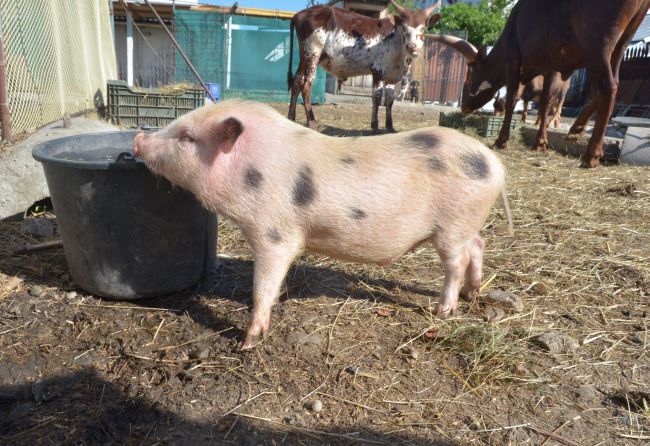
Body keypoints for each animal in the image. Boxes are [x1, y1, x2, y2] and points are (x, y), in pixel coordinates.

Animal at [133, 100, 512, 348]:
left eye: (188, 137)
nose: (137, 139)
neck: (251, 170)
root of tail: (494, 164)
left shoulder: (274, 233)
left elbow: (264, 282)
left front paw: (248, 342)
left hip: (452, 225)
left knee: (456, 262)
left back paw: (444, 311)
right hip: (464, 225)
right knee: (478, 246)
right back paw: (472, 293)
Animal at [284, 0, 440, 132]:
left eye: (422, 29)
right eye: (405, 29)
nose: (412, 47)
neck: (397, 42)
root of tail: (299, 14)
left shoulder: (391, 75)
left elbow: (389, 100)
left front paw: (390, 126)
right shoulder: (378, 70)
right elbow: (377, 97)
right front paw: (375, 125)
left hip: (304, 56)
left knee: (297, 80)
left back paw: (291, 118)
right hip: (313, 53)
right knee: (306, 84)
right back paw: (311, 122)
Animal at [430, 0, 648, 167]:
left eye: (468, 79)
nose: (464, 106)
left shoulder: (513, 60)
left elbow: (513, 98)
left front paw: (501, 140)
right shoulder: (552, 66)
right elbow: (544, 102)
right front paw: (540, 143)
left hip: (599, 44)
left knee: (607, 88)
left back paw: (591, 154)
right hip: (621, 43)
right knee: (612, 84)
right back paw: (577, 128)